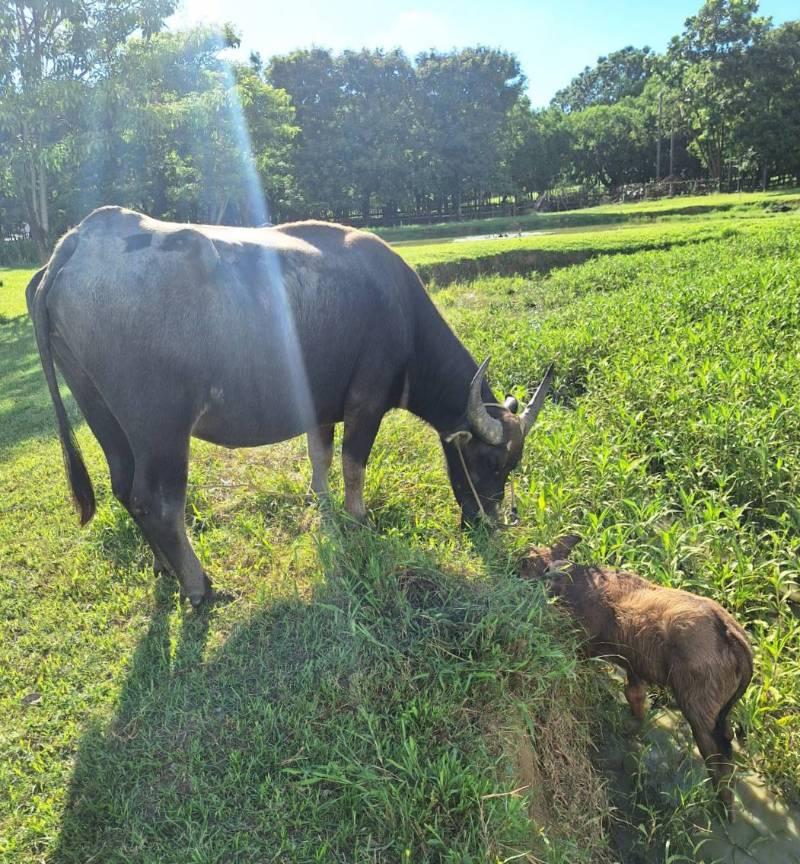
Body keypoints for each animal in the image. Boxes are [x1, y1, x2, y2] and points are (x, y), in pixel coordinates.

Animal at [32, 206, 556, 604]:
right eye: (488, 462)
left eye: (512, 465)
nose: (486, 522)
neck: (402, 318)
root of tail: (77, 242)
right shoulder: (365, 403)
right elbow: (352, 465)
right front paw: (358, 520)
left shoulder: (321, 408)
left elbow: (319, 458)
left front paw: (323, 509)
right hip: (160, 429)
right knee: (156, 502)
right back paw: (200, 587)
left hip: (101, 412)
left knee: (123, 486)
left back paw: (165, 569)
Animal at [520, 532, 752, 816]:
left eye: (523, 561)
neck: (563, 578)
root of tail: (733, 635)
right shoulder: (633, 665)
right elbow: (636, 699)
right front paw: (631, 730)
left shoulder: (582, 647)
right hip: (720, 712)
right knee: (728, 743)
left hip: (698, 711)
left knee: (718, 759)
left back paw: (722, 807)